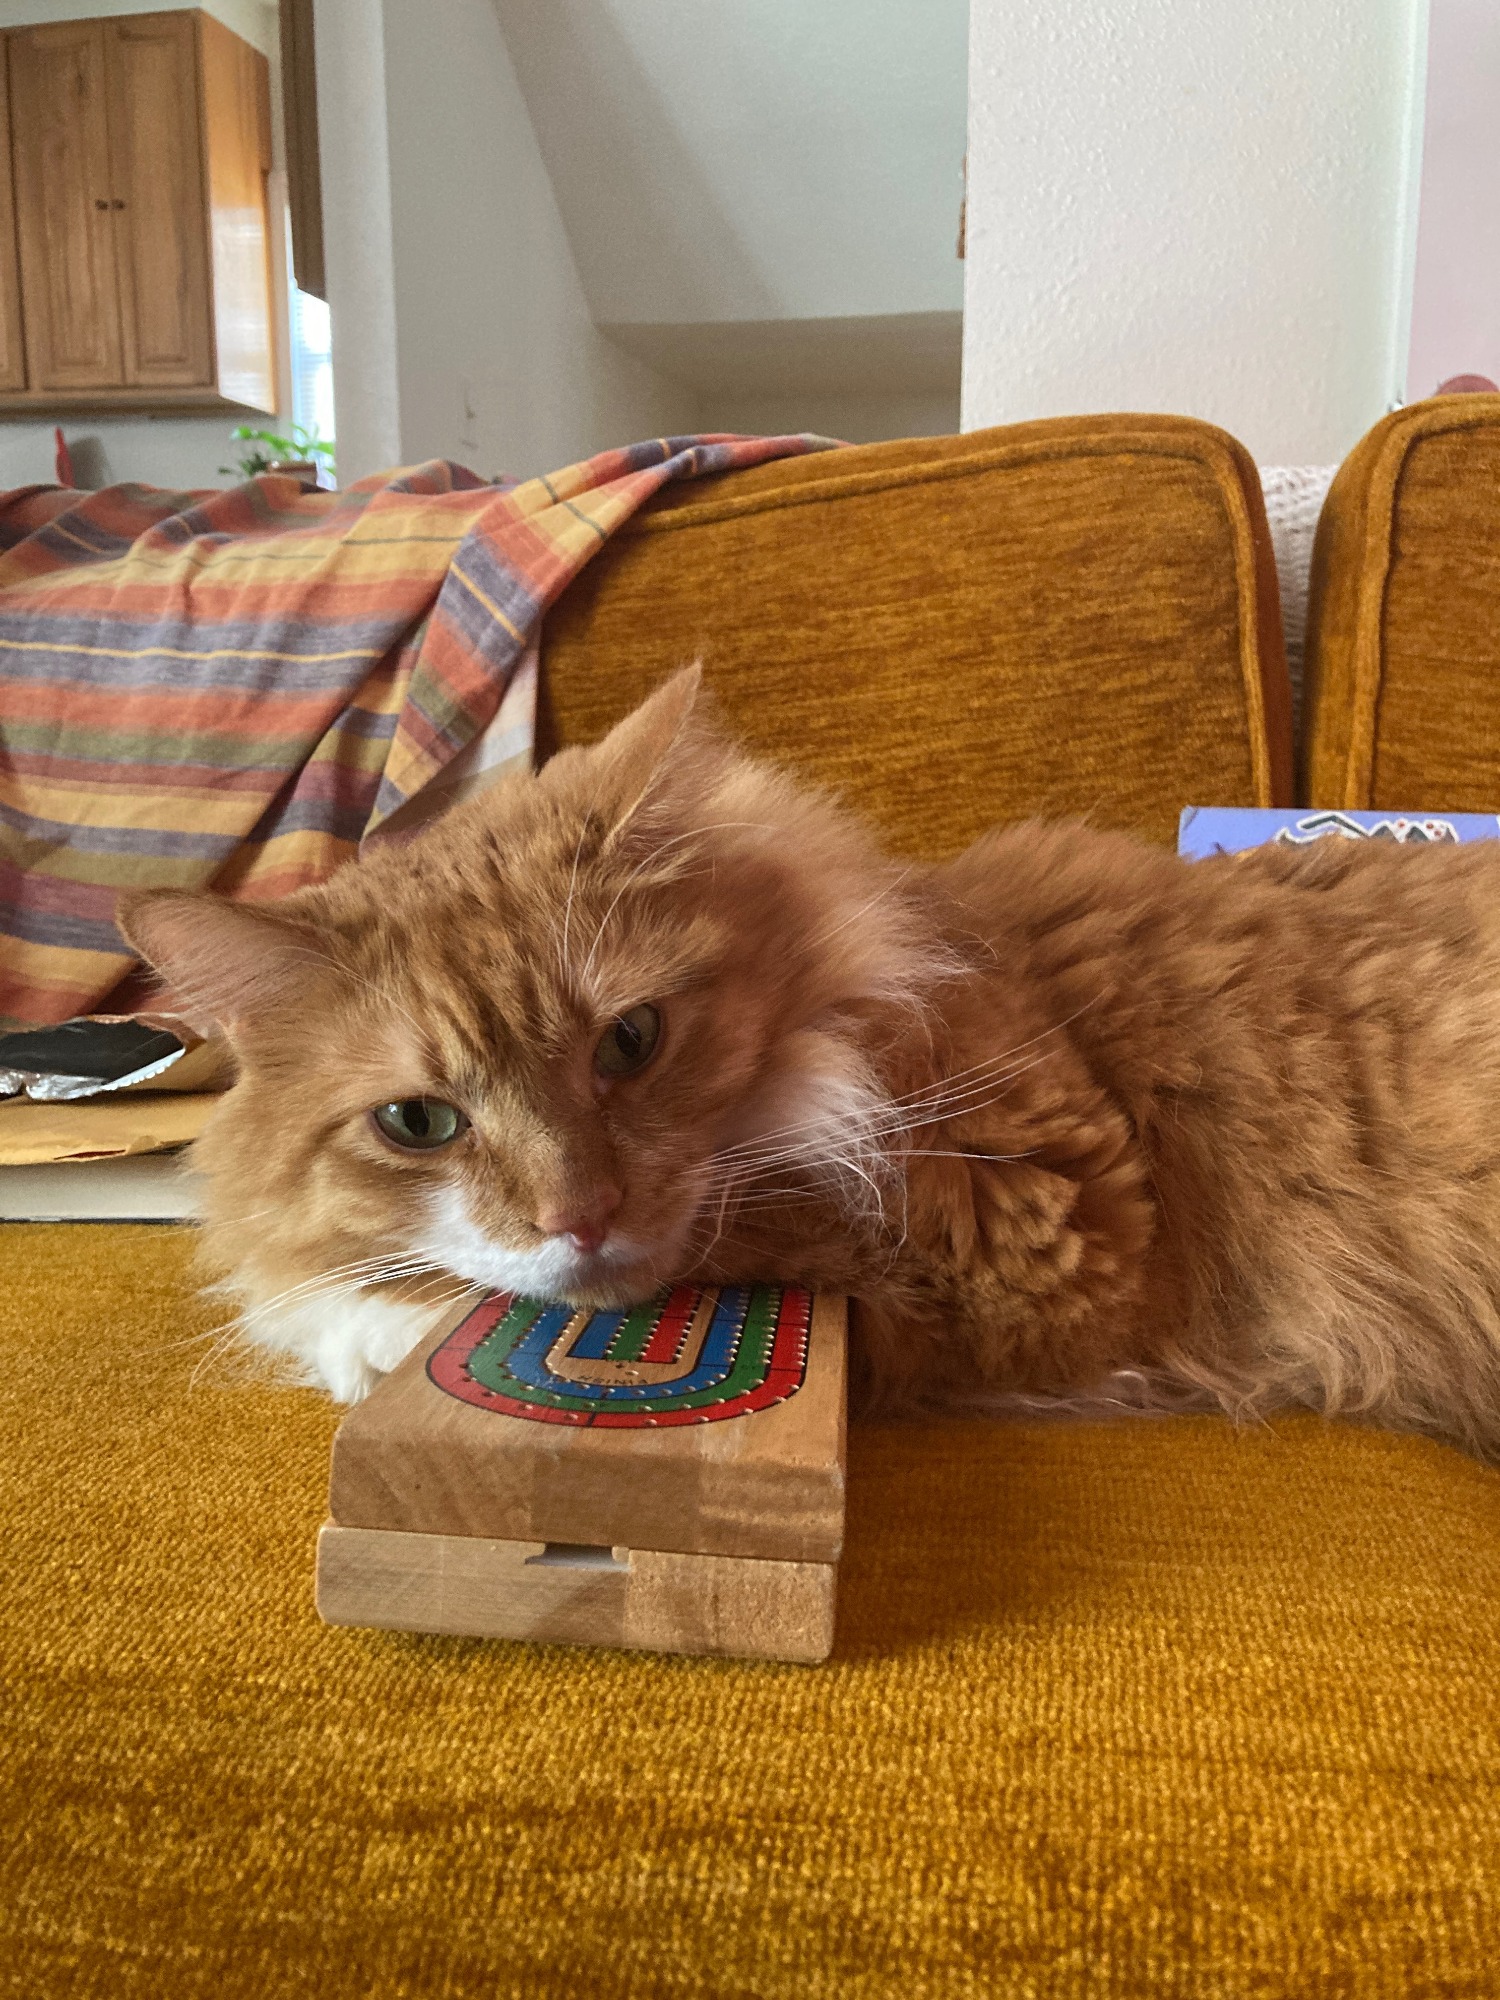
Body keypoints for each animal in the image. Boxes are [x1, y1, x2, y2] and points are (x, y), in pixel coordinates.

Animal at [120, 667, 1500, 1459]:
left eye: (631, 1041)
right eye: (418, 1122)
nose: (582, 1213)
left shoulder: (1048, 1215)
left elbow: (747, 1229)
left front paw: (361, 1322)